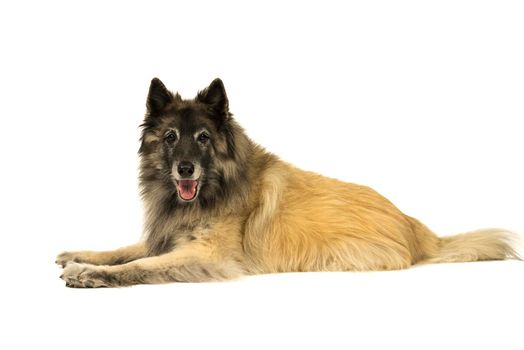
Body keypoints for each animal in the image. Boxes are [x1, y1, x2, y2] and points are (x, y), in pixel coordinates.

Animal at [55, 77, 520, 288]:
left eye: (202, 138)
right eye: (170, 138)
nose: (185, 169)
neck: (214, 189)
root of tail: (417, 228)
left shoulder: (205, 254)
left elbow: (138, 265)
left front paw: (86, 273)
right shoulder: (166, 238)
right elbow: (122, 250)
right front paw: (80, 256)